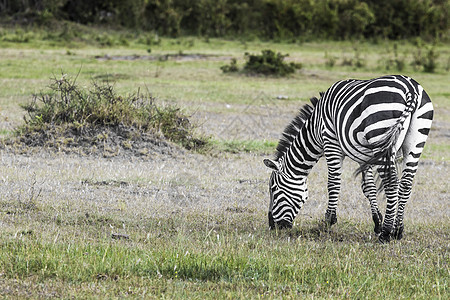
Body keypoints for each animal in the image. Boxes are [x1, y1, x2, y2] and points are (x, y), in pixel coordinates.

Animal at [264, 75, 432, 244]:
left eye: (274, 189)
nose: (272, 226)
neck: (315, 128)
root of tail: (410, 88)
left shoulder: (331, 142)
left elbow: (333, 183)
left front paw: (327, 222)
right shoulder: (364, 156)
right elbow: (368, 187)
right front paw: (377, 222)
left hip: (380, 133)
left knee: (391, 184)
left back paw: (386, 233)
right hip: (415, 141)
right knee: (405, 184)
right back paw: (397, 231)